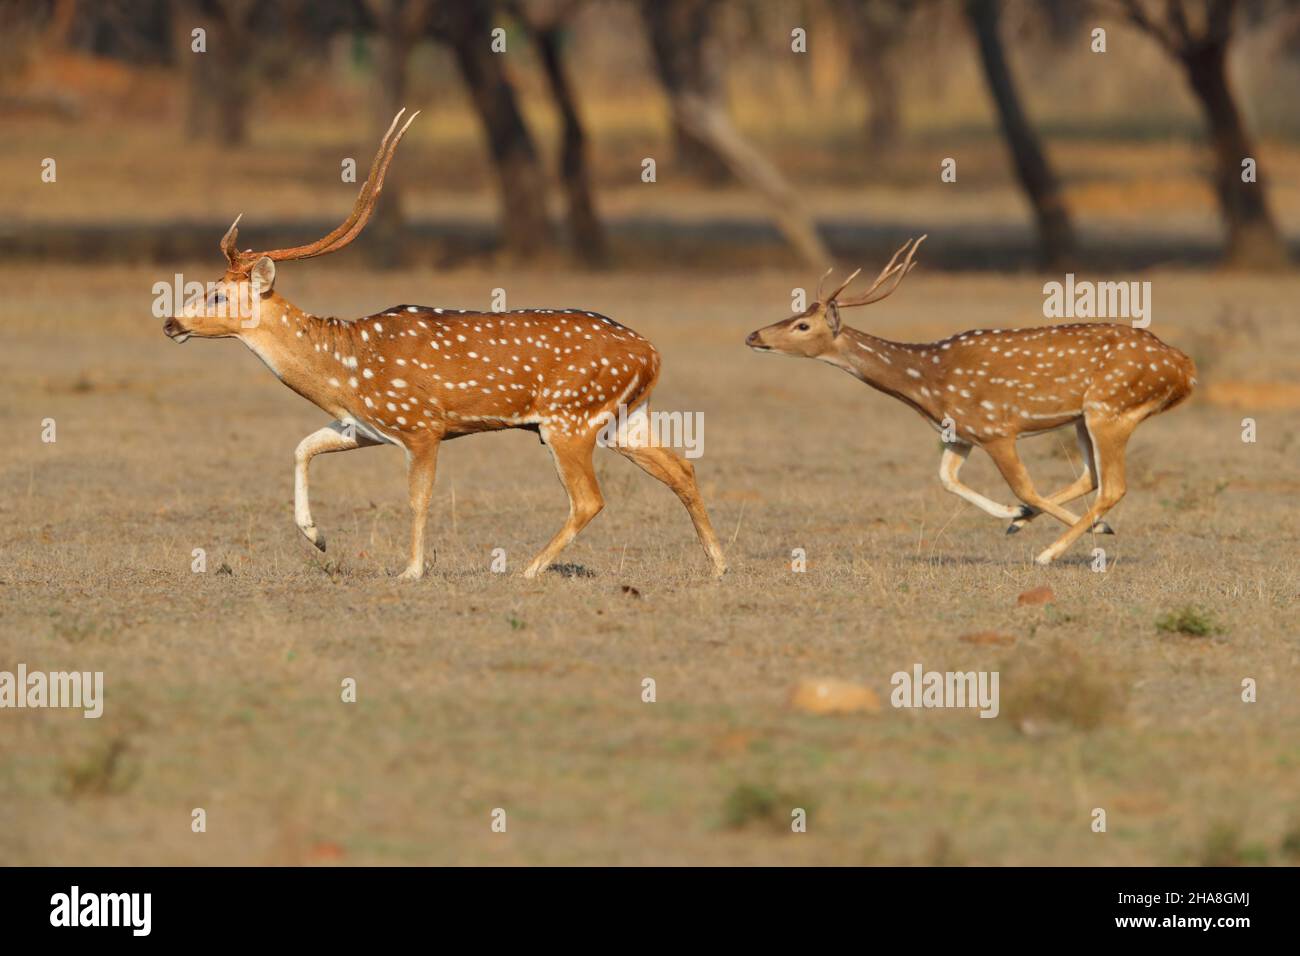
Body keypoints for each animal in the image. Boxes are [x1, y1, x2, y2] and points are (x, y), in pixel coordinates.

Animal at [163, 110, 728, 581]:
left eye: (217, 293)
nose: (170, 321)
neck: (344, 369)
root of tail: (652, 355)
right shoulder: (365, 425)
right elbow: (302, 447)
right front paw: (318, 538)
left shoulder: (421, 425)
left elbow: (417, 497)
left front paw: (410, 571)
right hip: (622, 417)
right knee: (682, 468)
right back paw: (719, 564)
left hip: (570, 419)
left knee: (590, 498)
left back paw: (529, 569)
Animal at [745, 236, 1197, 565]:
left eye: (803, 325)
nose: (754, 335)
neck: (928, 382)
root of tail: (1184, 367)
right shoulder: (960, 433)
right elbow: (947, 480)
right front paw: (1016, 516)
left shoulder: (996, 428)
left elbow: (1024, 486)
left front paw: (1041, 525)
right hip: (1085, 418)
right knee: (1093, 477)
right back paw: (1039, 525)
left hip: (1110, 408)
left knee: (1113, 485)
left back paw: (1048, 552)